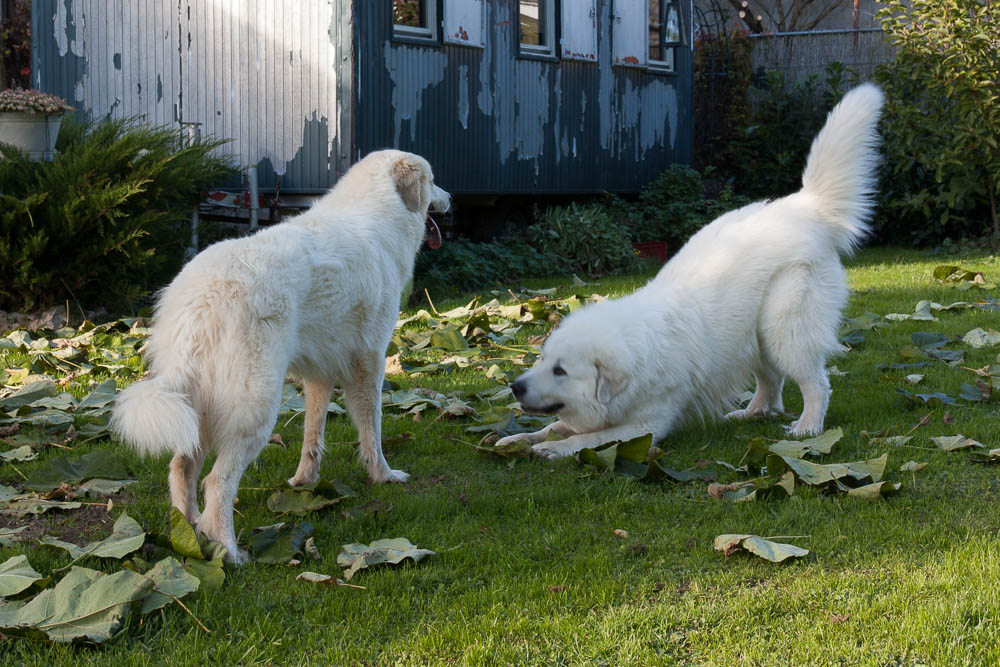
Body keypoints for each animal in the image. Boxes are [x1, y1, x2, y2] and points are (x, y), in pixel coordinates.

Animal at [111, 149, 452, 560]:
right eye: (433, 180)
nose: (451, 199)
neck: (375, 212)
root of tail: (201, 300)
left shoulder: (320, 375)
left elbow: (312, 434)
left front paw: (305, 481)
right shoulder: (369, 363)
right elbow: (372, 428)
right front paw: (383, 475)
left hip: (199, 407)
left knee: (181, 467)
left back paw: (188, 530)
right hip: (253, 408)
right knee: (217, 480)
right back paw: (228, 550)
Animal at [498, 82, 884, 460]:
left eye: (561, 371)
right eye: (543, 360)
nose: (515, 386)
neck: (640, 355)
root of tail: (803, 206)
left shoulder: (643, 428)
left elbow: (585, 439)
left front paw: (550, 448)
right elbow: (556, 425)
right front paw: (518, 439)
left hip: (783, 329)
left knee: (815, 383)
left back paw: (808, 428)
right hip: (753, 333)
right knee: (770, 381)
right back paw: (753, 412)